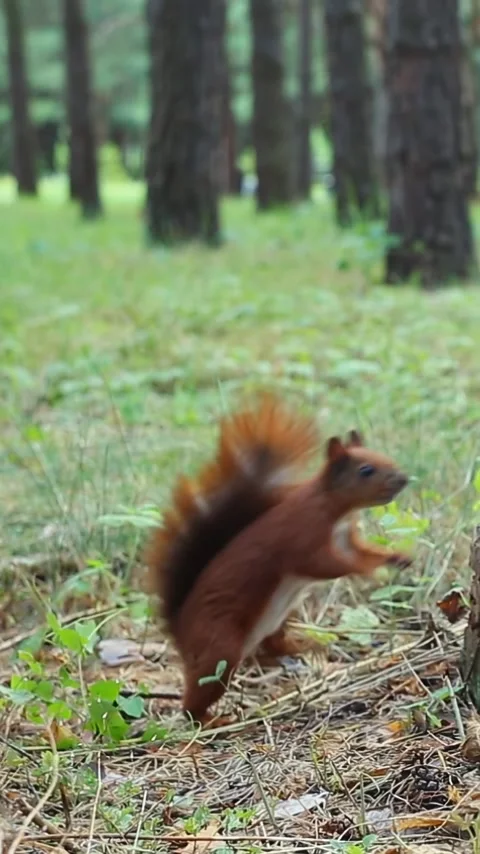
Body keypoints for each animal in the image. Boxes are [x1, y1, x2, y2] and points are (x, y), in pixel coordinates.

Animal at [146, 395, 411, 727]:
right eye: (366, 470)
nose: (403, 479)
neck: (335, 509)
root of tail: (179, 632)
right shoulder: (304, 536)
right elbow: (326, 565)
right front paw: (369, 571)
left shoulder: (347, 540)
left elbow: (365, 551)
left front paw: (398, 557)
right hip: (219, 647)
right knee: (194, 702)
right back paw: (214, 720)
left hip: (277, 620)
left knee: (270, 649)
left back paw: (304, 644)